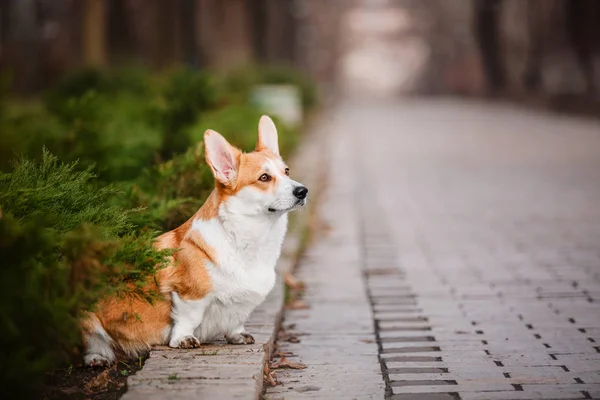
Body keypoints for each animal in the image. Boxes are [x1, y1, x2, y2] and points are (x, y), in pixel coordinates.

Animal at [82, 115, 308, 366]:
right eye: (264, 177)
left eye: (287, 171)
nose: (303, 191)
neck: (247, 236)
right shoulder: (189, 295)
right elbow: (189, 318)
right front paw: (183, 339)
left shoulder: (241, 305)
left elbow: (237, 318)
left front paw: (238, 335)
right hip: (87, 319)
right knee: (92, 344)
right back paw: (97, 358)